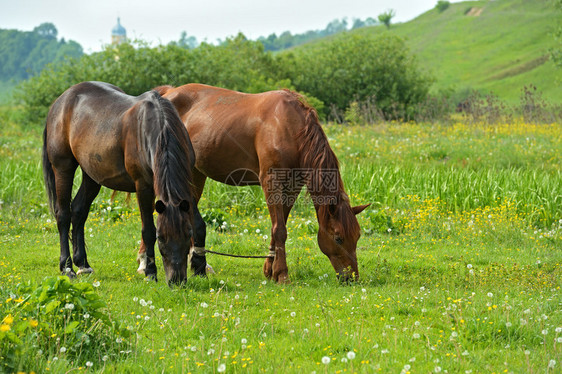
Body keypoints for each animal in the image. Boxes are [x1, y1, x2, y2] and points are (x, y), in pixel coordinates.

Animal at [42, 79, 203, 284]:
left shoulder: (186, 186)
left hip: (92, 175)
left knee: (78, 211)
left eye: (187, 233)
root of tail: (60, 101)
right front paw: (150, 272)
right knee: (63, 215)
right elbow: (147, 230)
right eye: (161, 237)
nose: (177, 280)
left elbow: (199, 224)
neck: (157, 128)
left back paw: (83, 264)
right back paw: (67, 267)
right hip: (63, 168)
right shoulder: (143, 187)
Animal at [140, 83, 368, 282]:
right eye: (338, 238)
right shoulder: (271, 182)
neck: (288, 125)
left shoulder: (291, 187)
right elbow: (280, 230)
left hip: (194, 173)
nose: (351, 278)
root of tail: (168, 93)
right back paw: (144, 264)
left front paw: (270, 270)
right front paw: (282, 275)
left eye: (357, 236)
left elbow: (279, 226)